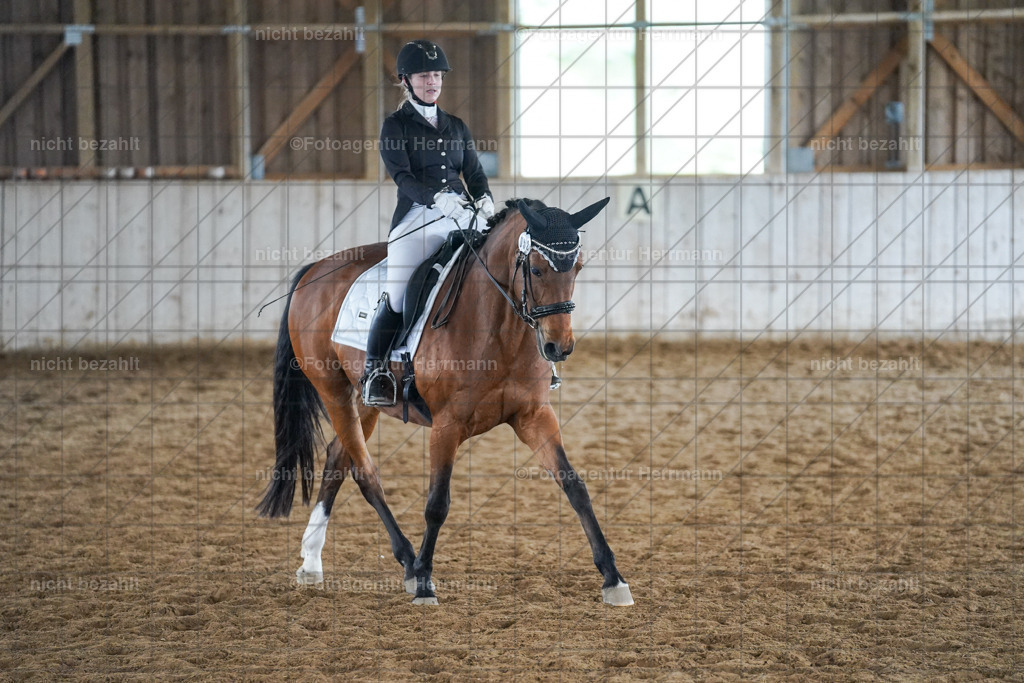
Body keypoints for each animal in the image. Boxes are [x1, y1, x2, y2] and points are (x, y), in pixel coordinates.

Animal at [256, 197, 633, 606]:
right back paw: (407, 563)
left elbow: (575, 487)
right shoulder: (447, 425)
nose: (558, 347)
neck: (498, 327)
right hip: (333, 390)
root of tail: (316, 269)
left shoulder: (534, 416)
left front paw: (613, 579)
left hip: (367, 401)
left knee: (339, 459)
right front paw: (424, 582)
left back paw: (312, 560)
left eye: (577, 268)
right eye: (534, 268)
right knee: (365, 472)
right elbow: (437, 504)